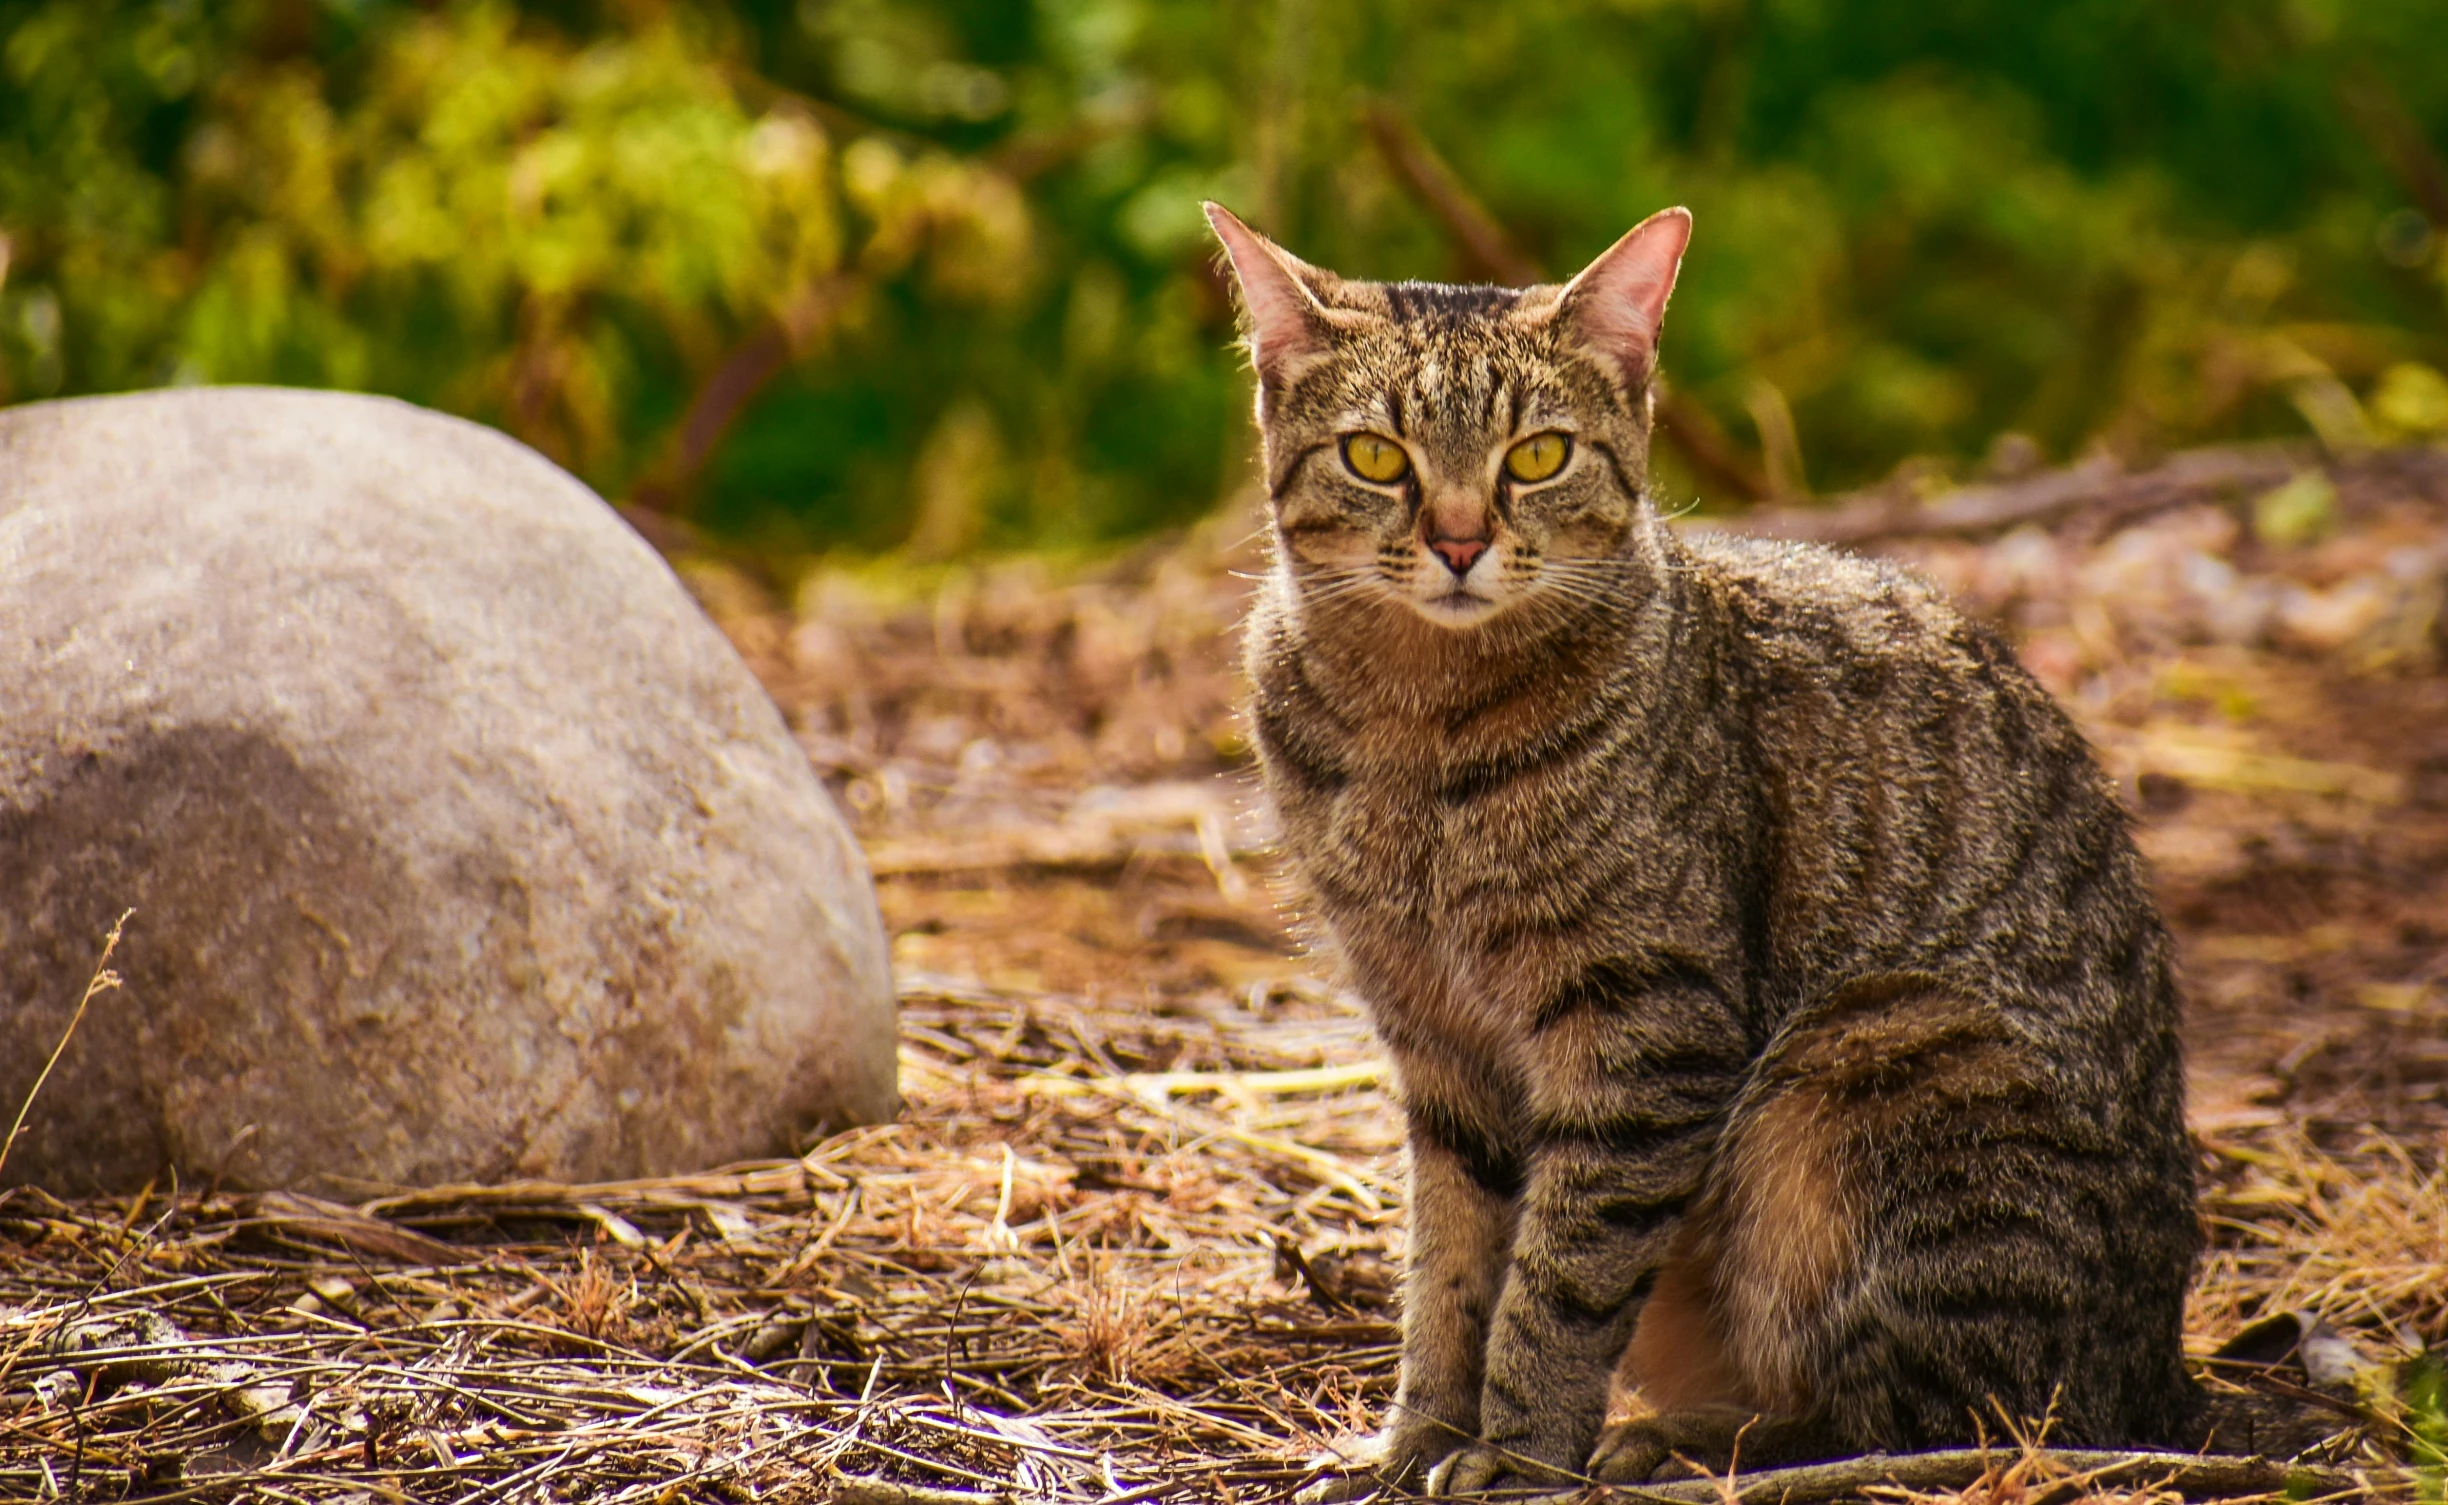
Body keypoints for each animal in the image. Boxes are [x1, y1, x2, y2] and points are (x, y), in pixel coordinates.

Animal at [1209, 203, 2222, 1497]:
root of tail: (2162, 1364)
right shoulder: (1430, 1031)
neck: (1414, 727)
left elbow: (1562, 1274)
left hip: (1872, 1059)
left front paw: (1516, 1449)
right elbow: (1449, 1262)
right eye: (1377, 458)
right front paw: (1419, 1432)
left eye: (1538, 456)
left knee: (1934, 1408)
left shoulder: (1645, 1020)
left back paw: (1681, 1437)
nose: (1458, 541)